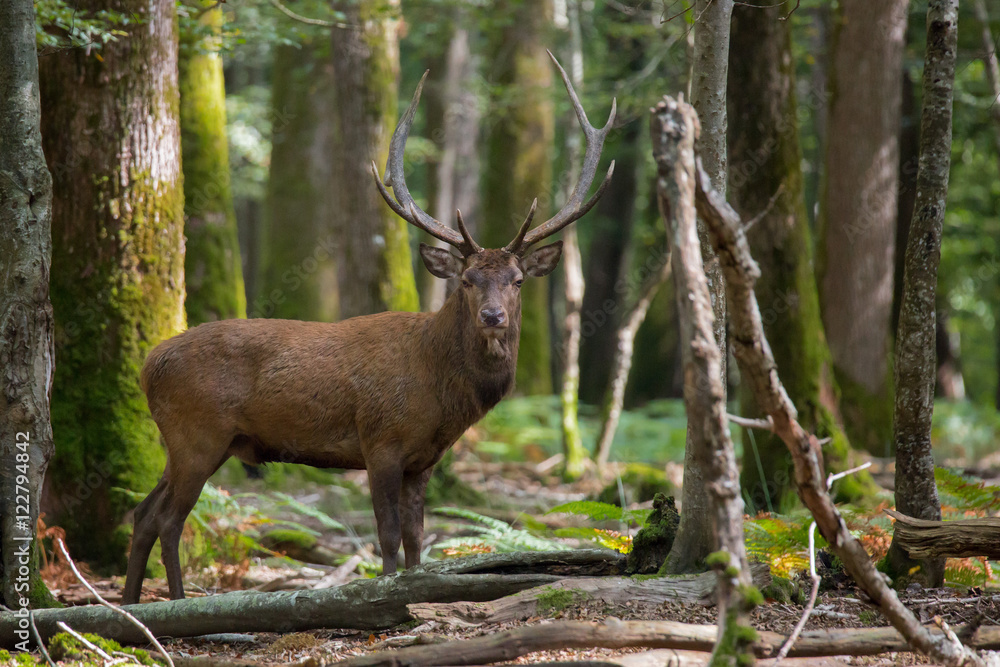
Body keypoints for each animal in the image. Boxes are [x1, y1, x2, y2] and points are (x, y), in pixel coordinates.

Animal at [121, 52, 615, 605]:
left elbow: (419, 538)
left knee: (143, 512)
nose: (493, 316)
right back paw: (175, 604)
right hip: (196, 434)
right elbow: (388, 535)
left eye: (518, 280)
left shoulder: (423, 460)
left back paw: (127, 603)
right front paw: (385, 594)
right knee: (169, 520)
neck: (440, 390)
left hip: (191, 441)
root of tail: (148, 364)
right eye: (467, 280)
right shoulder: (381, 441)